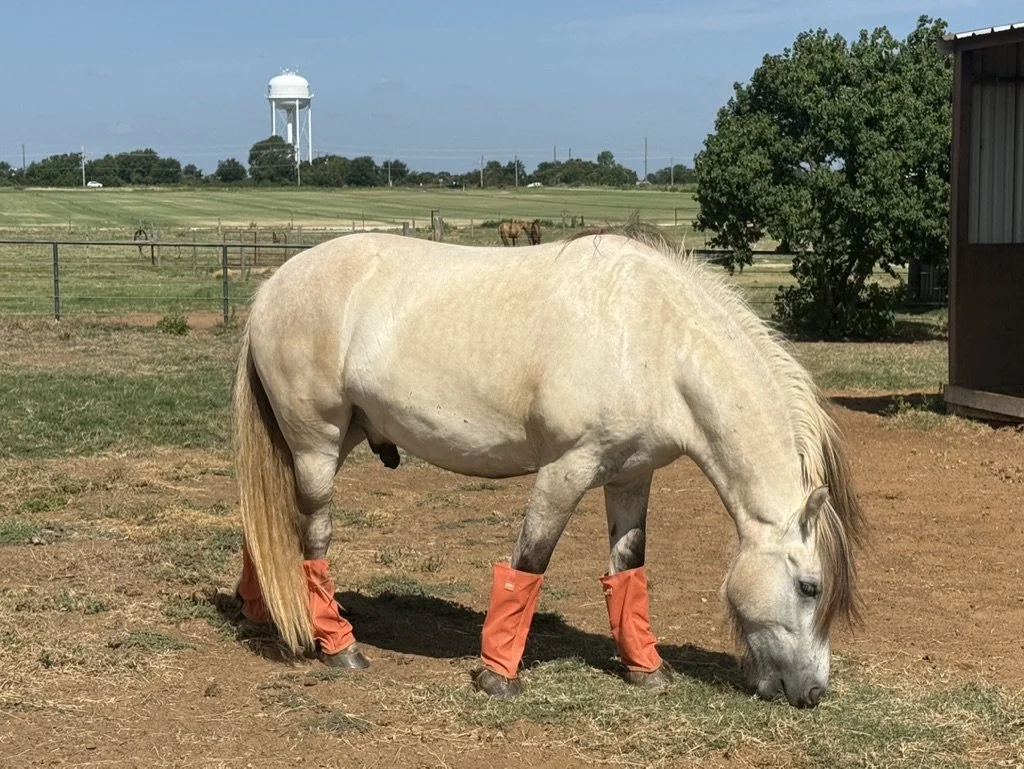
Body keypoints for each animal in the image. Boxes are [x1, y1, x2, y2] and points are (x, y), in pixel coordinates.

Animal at [233, 225, 864, 708]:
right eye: (810, 586)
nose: (813, 694)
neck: (653, 340)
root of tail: (272, 288)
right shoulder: (566, 469)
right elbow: (529, 563)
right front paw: (497, 677)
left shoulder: (631, 476)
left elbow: (628, 567)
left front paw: (647, 669)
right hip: (317, 444)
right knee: (313, 536)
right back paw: (340, 647)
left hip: (333, 440)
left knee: (267, 527)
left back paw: (260, 613)